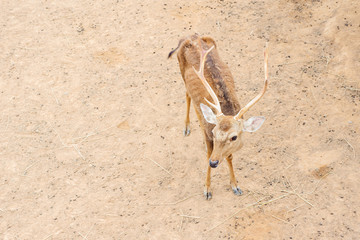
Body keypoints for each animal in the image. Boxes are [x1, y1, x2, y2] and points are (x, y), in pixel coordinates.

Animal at [168, 33, 268, 199]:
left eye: (234, 137)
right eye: (214, 132)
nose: (213, 163)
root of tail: (189, 36)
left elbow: (229, 157)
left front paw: (235, 186)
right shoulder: (208, 134)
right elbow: (209, 153)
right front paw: (207, 189)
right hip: (181, 70)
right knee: (188, 95)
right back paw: (187, 127)